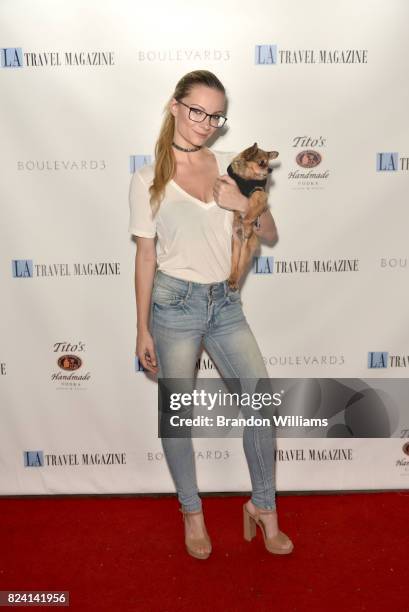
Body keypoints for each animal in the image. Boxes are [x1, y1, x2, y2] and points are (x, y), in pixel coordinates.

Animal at [225, 143, 278, 290]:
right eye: (262, 163)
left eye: (269, 163)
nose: (270, 169)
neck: (248, 179)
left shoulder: (260, 193)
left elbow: (253, 207)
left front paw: (248, 220)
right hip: (236, 244)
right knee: (235, 264)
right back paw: (232, 279)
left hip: (246, 247)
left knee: (241, 267)